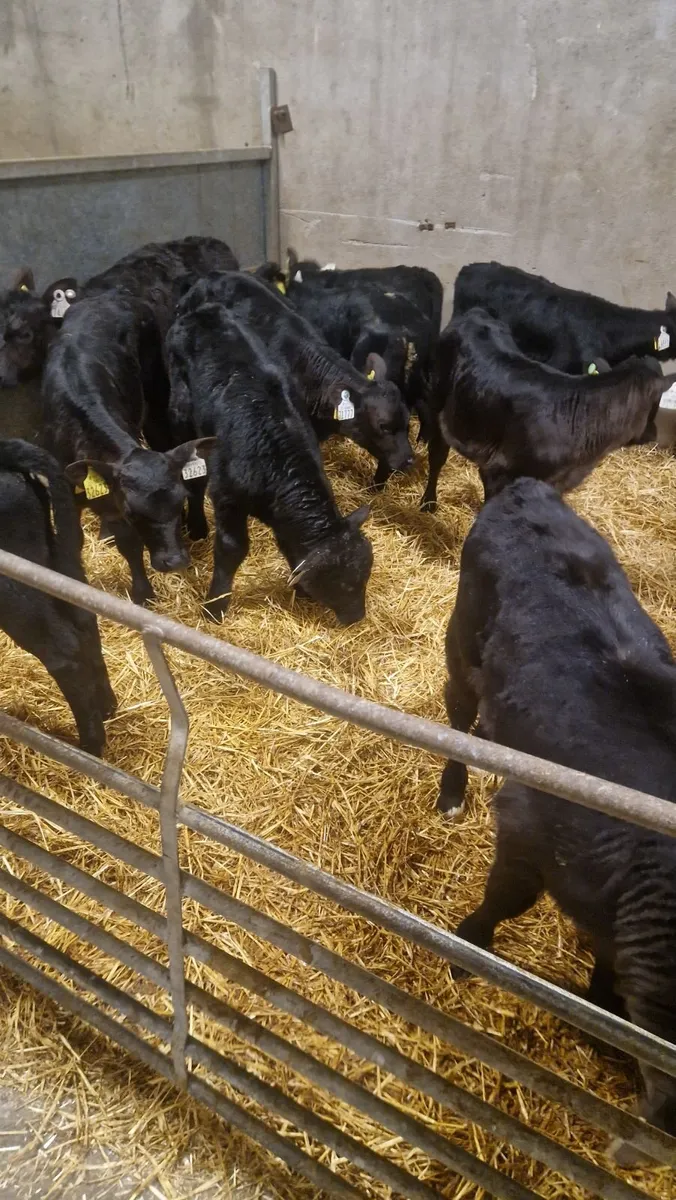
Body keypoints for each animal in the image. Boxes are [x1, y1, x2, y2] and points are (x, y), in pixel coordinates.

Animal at [165, 302, 373, 624]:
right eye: (341, 584)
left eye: (365, 575)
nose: (356, 617)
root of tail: (204, 311)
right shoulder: (227, 497)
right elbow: (232, 548)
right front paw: (215, 606)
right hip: (180, 411)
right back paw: (197, 526)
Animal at [421, 307, 672, 511]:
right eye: (656, 401)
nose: (652, 433)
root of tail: (476, 313)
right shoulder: (497, 472)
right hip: (437, 399)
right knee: (437, 455)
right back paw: (428, 502)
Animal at [436, 477, 676, 1161]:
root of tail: (525, 489)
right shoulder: (526, 826)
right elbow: (505, 899)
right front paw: (468, 946)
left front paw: (601, 1008)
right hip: (462, 644)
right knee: (458, 715)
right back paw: (452, 789)